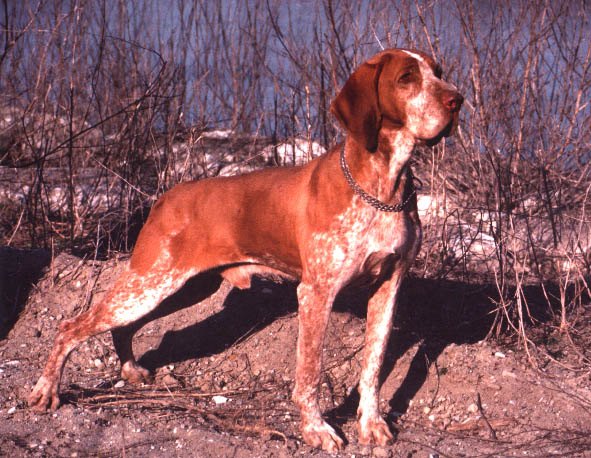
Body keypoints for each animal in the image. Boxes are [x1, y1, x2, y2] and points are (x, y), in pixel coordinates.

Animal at [28, 49, 462, 450]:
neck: (380, 187)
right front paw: (316, 430)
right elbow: (310, 375)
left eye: (438, 72)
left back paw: (131, 370)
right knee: (71, 327)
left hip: (179, 288)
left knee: (123, 327)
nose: (456, 100)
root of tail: (166, 197)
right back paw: (46, 390)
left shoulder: (388, 287)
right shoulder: (316, 293)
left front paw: (371, 424)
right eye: (406, 78)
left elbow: (372, 367)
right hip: (149, 285)